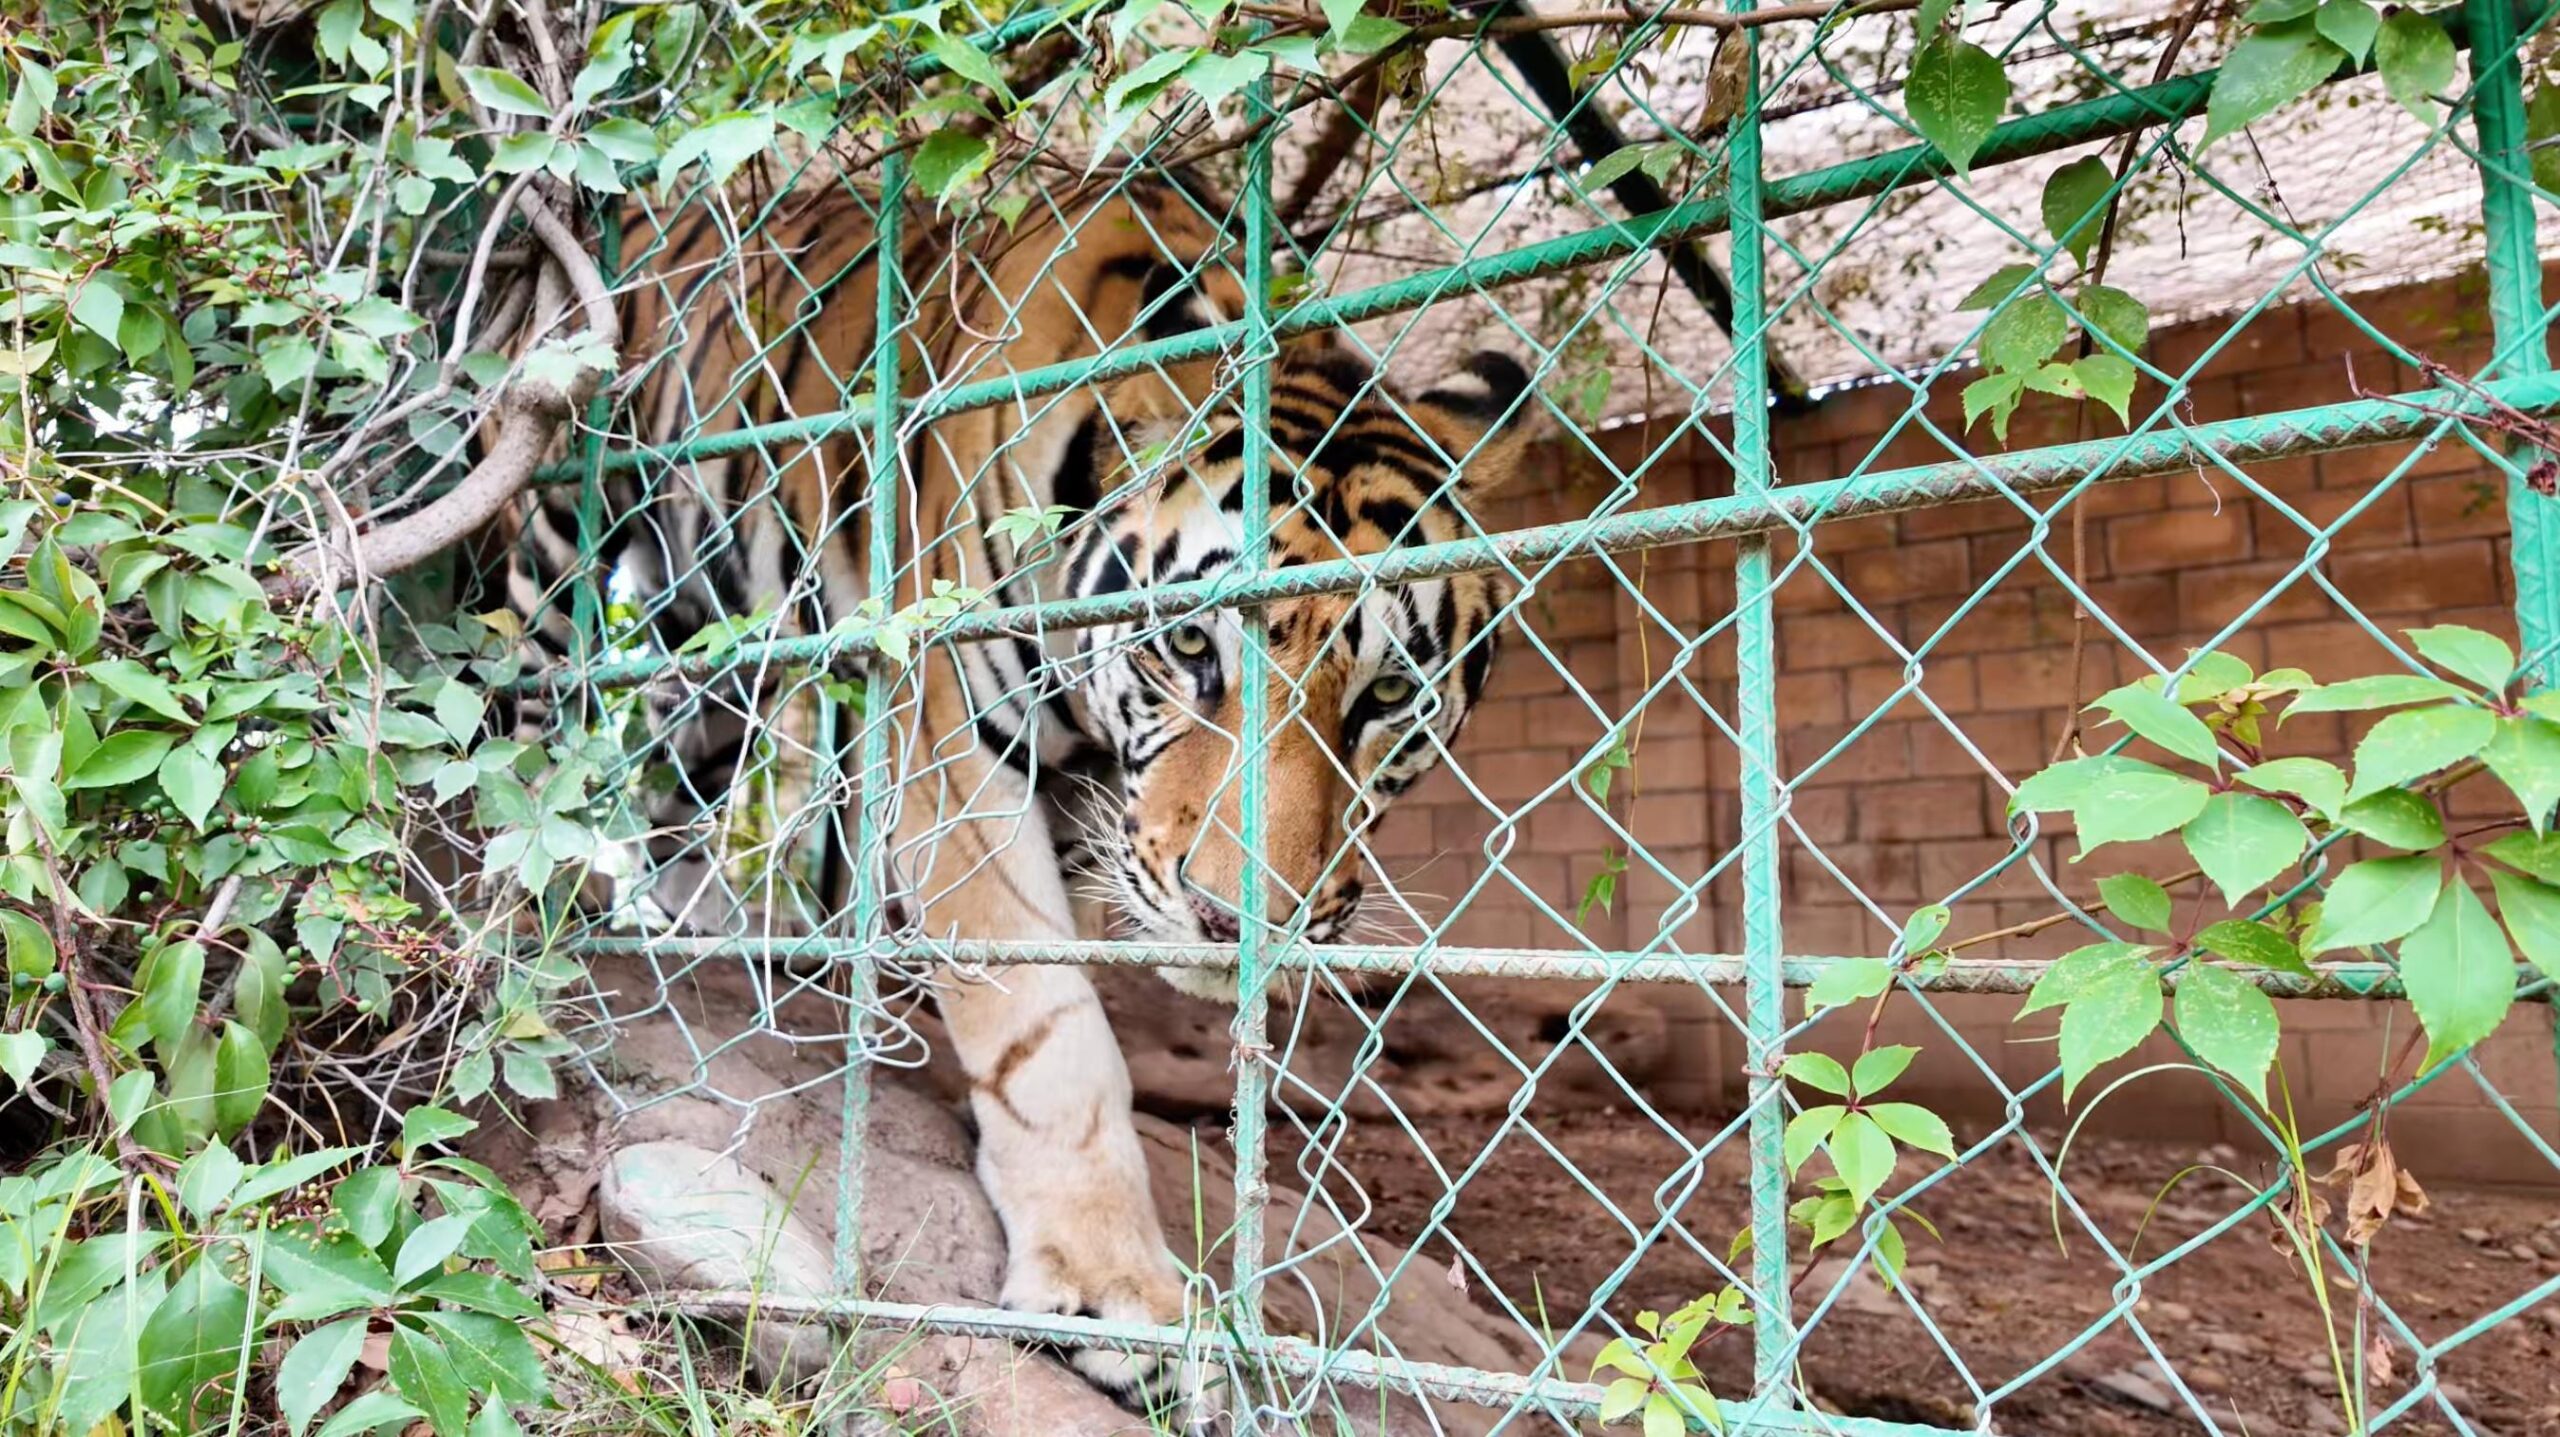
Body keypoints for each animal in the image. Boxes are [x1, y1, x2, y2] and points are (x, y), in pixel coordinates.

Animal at [491, 169, 1534, 1404]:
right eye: (1191, 650)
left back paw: (703, 925)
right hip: (561, 534)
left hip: (719, 620)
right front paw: (1113, 1291)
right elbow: (1048, 1033)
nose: (1238, 922)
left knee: (680, 756)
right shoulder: (952, 751)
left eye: (1387, 694)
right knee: (518, 695)